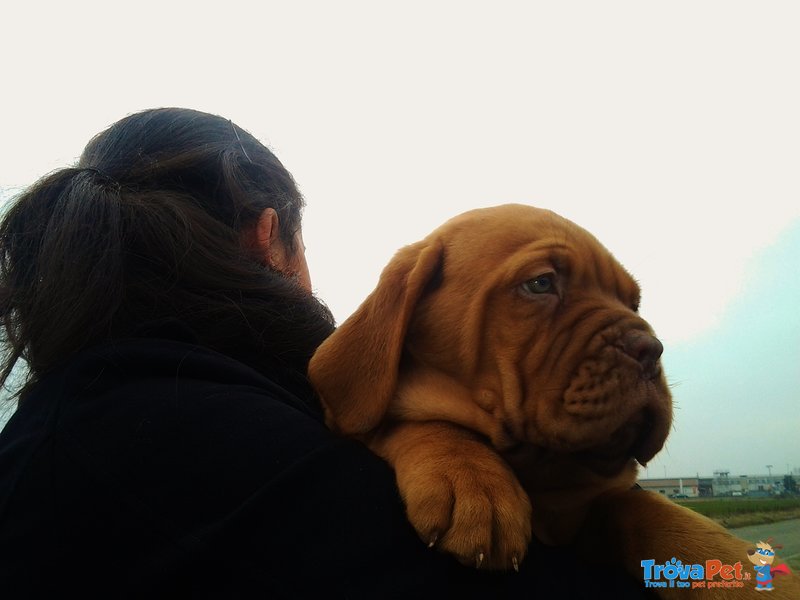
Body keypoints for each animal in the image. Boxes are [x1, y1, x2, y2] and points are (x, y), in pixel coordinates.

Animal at [304, 204, 792, 596]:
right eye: (541, 283)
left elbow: (646, 507)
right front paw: (472, 480)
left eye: (634, 302)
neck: (544, 472)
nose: (651, 349)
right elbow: (417, 421)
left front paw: (739, 568)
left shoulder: (594, 510)